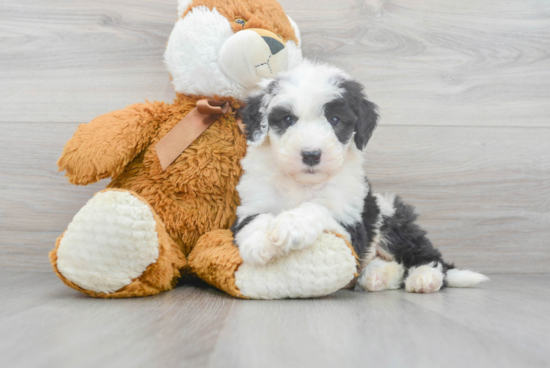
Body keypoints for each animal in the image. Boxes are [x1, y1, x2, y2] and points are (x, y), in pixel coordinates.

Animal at [231, 59, 490, 294]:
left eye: (335, 120)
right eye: (288, 120)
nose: (312, 155)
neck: (303, 183)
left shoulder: (352, 222)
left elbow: (318, 208)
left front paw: (291, 225)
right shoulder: (253, 202)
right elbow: (254, 220)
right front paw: (258, 243)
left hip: (391, 218)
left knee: (426, 255)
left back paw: (424, 278)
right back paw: (377, 275)